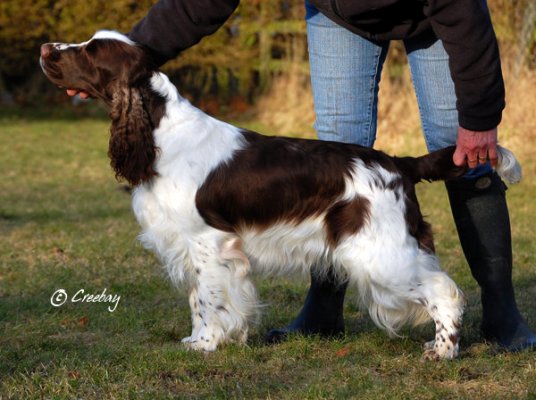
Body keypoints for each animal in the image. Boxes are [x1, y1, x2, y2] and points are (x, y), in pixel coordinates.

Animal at [39, 29, 520, 358]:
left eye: (91, 51)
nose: (45, 50)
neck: (160, 132)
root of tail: (399, 162)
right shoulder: (189, 244)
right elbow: (197, 298)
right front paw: (195, 339)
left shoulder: (208, 241)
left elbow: (209, 298)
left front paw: (207, 344)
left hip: (381, 252)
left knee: (444, 290)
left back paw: (443, 351)